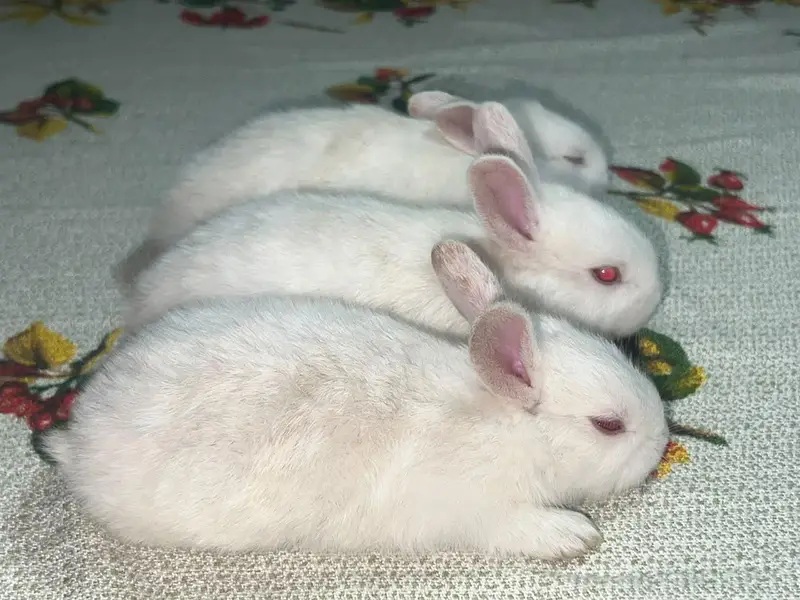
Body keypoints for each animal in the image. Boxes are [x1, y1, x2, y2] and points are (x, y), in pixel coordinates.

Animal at [43, 239, 669, 559]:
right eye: (609, 425)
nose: (663, 442)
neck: (503, 425)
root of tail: (78, 437)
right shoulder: (479, 513)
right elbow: (517, 529)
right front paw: (575, 536)